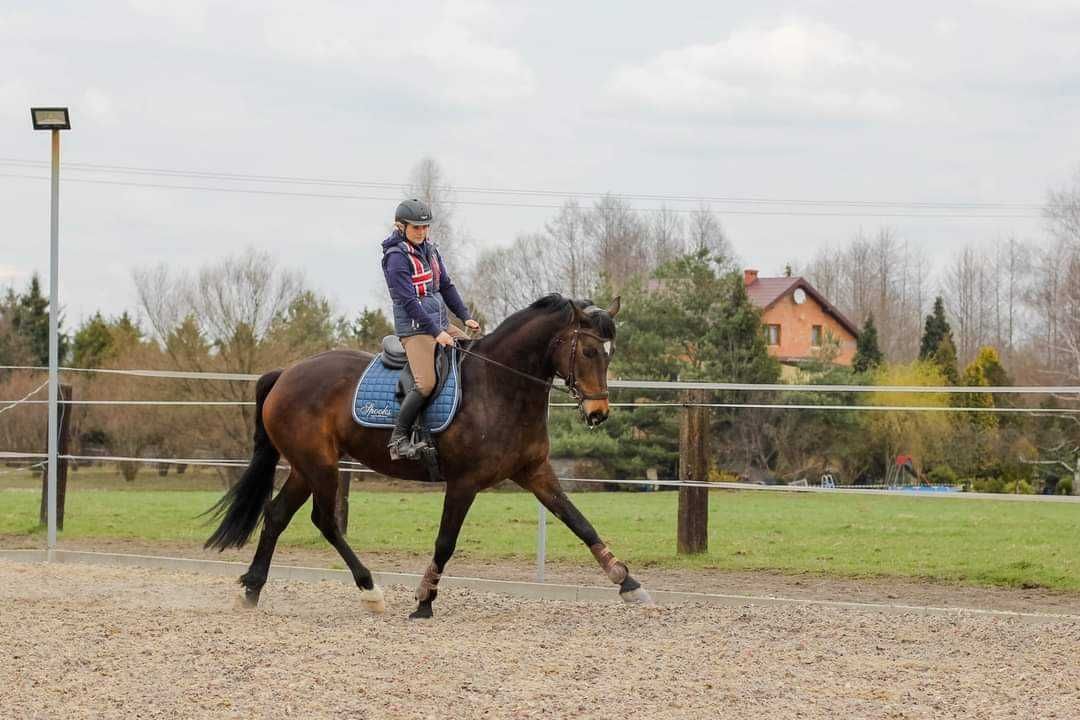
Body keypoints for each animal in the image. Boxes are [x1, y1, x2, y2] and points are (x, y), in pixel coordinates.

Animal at [206, 293, 652, 621]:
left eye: (610, 352)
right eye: (590, 351)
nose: (598, 413)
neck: (500, 386)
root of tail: (286, 373)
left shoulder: (535, 472)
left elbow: (579, 521)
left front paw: (627, 581)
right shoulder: (464, 482)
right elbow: (445, 541)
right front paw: (423, 600)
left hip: (306, 466)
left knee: (278, 515)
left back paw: (252, 589)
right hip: (320, 465)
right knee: (324, 520)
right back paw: (370, 591)